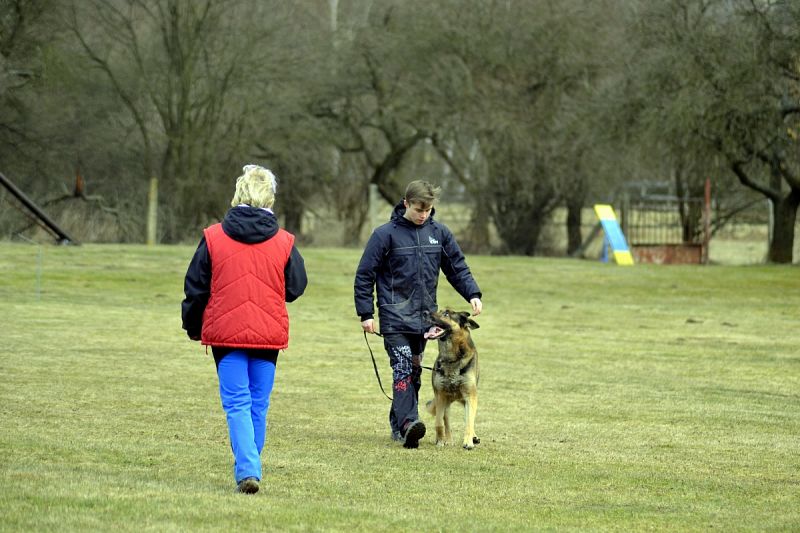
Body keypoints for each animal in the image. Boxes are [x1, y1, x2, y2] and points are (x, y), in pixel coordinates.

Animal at [424, 308, 482, 448]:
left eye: (446, 314)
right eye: (439, 311)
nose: (424, 313)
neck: (452, 358)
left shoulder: (470, 396)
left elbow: (469, 422)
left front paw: (468, 441)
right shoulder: (440, 396)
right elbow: (439, 422)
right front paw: (440, 440)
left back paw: (473, 437)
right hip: (445, 402)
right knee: (446, 421)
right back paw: (448, 440)